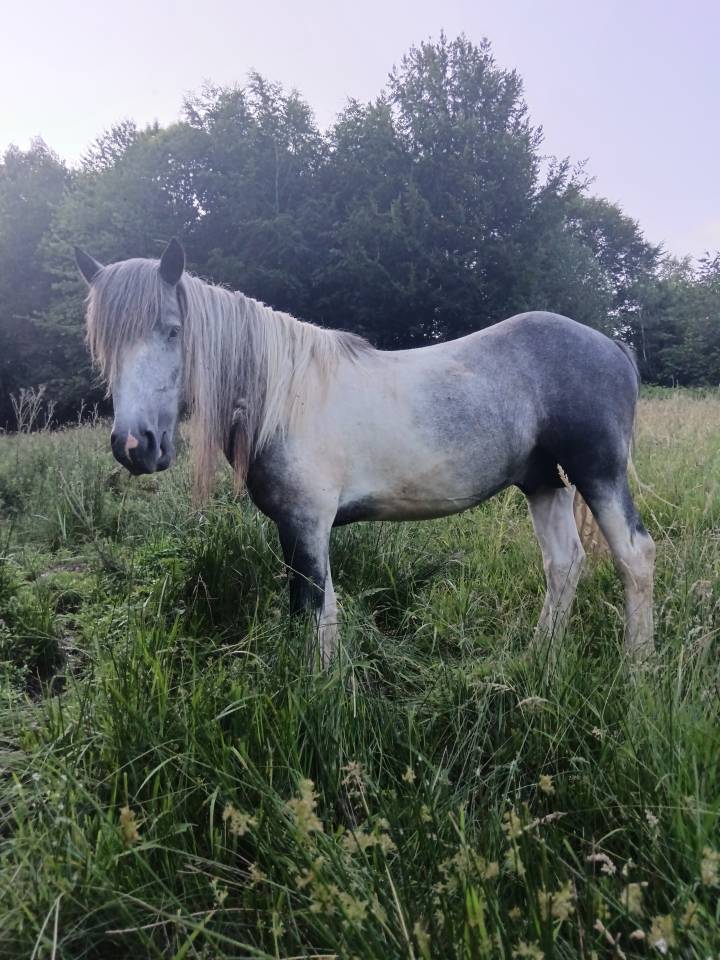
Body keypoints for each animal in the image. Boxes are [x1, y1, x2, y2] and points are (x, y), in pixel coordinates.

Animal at [74, 238, 655, 665]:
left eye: (173, 330)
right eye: (104, 346)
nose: (135, 446)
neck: (282, 395)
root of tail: (611, 344)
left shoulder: (308, 523)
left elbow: (317, 613)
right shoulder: (294, 528)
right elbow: (307, 609)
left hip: (597, 473)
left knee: (634, 557)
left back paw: (635, 669)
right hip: (540, 480)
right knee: (563, 563)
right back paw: (539, 657)